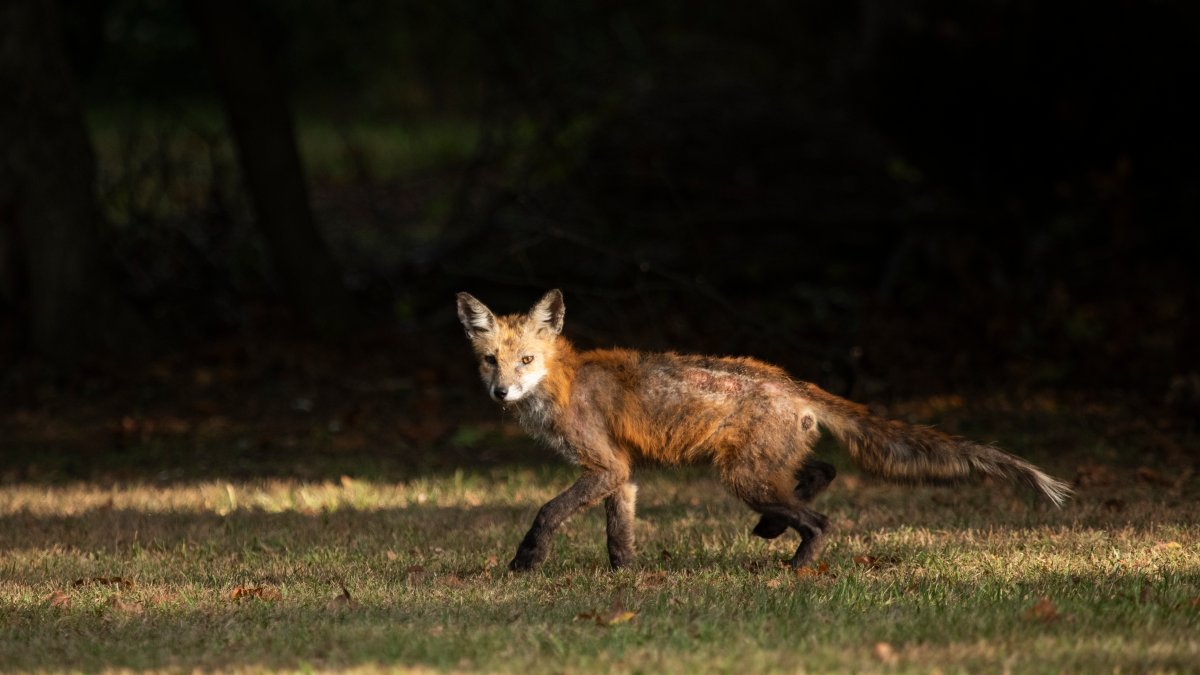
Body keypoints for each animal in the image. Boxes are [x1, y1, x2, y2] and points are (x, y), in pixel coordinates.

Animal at [456, 289, 1071, 572]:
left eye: (527, 360)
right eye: (490, 361)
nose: (501, 393)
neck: (564, 383)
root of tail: (792, 382)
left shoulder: (603, 464)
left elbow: (547, 511)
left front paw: (526, 561)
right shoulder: (622, 472)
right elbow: (619, 532)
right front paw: (624, 577)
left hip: (741, 476)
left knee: (821, 519)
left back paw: (795, 565)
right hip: (762, 467)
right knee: (821, 470)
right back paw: (777, 527)